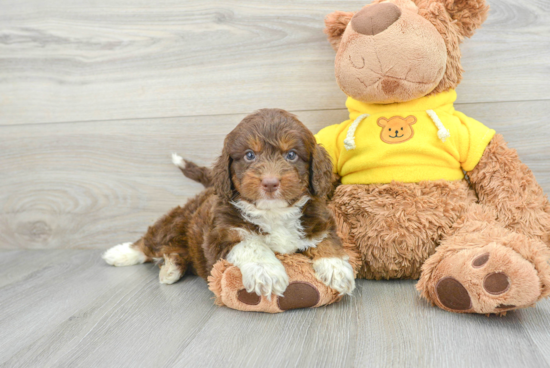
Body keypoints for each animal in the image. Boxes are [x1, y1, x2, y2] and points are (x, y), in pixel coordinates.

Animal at [102, 108, 358, 296]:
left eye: (291, 155)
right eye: (249, 155)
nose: (270, 182)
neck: (273, 213)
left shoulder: (318, 220)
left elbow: (326, 240)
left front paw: (336, 269)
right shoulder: (220, 235)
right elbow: (252, 244)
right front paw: (267, 272)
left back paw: (171, 268)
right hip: (177, 221)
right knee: (150, 241)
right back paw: (120, 253)